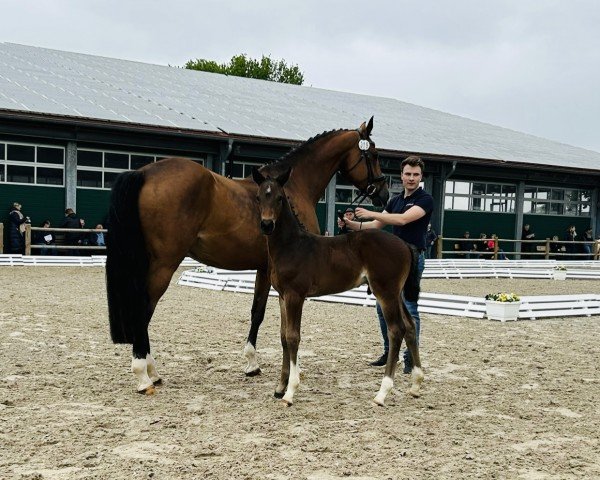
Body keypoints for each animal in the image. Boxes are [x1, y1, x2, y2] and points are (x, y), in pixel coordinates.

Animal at [253, 169, 426, 404]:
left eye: (280, 198)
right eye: (259, 197)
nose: (267, 225)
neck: (292, 246)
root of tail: (405, 245)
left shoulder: (295, 295)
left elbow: (293, 337)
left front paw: (290, 391)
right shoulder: (282, 296)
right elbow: (283, 337)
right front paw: (280, 387)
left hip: (386, 292)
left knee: (396, 330)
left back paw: (382, 393)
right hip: (396, 293)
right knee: (410, 326)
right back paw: (416, 385)